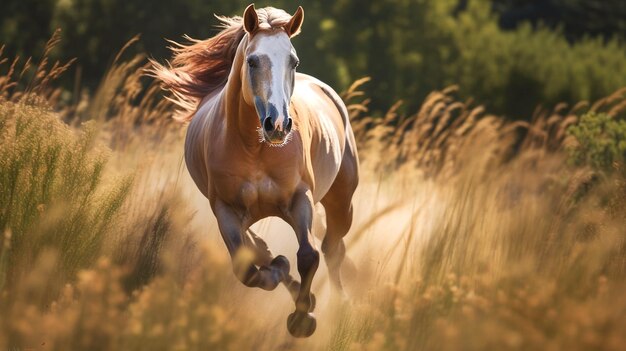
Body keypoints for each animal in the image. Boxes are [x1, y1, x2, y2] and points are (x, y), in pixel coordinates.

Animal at [150, 4, 356, 336]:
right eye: (252, 61)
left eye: (294, 61)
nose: (278, 125)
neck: (255, 148)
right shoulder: (225, 209)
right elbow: (247, 267)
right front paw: (283, 274)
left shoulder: (300, 199)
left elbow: (308, 255)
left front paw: (302, 319)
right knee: (260, 248)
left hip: (341, 200)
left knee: (332, 249)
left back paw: (342, 305)